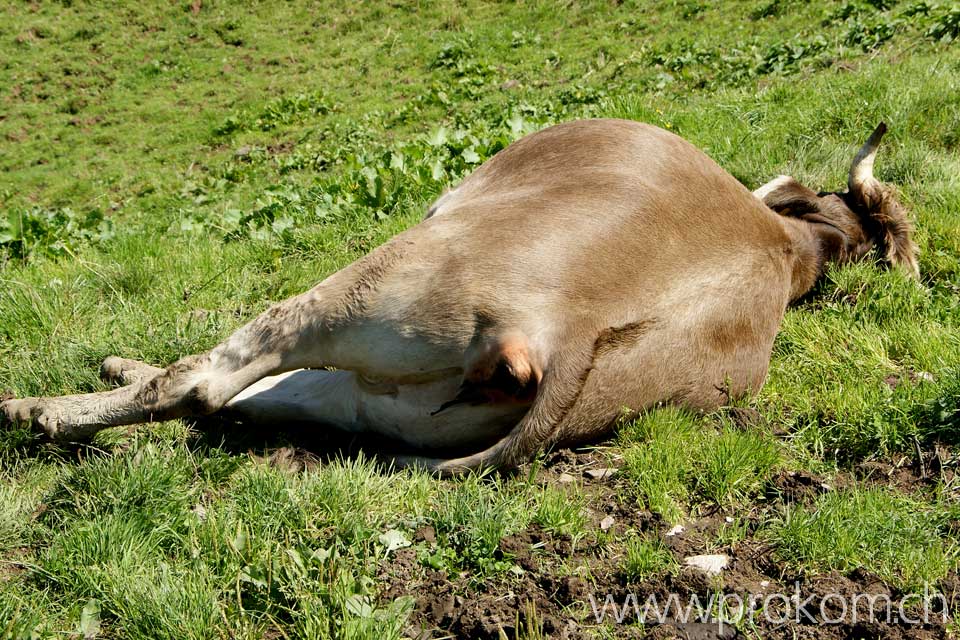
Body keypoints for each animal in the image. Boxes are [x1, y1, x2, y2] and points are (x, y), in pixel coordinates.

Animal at [0, 120, 916, 472]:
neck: (790, 247)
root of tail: (573, 328)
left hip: (370, 289)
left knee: (204, 383)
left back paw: (34, 409)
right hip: (383, 400)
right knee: (239, 397)